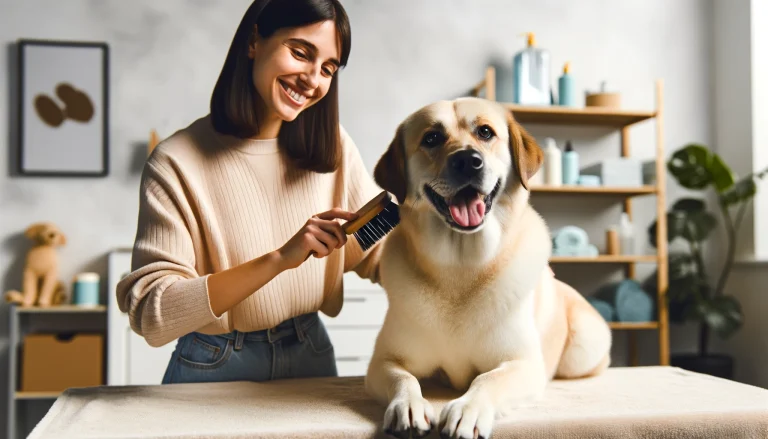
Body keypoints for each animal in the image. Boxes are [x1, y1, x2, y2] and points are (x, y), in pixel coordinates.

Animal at [364, 98, 612, 438]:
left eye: (485, 132)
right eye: (431, 138)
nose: (468, 161)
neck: (461, 268)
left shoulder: (523, 363)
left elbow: (488, 379)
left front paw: (467, 409)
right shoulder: (383, 362)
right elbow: (404, 378)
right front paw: (409, 406)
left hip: (583, 349)